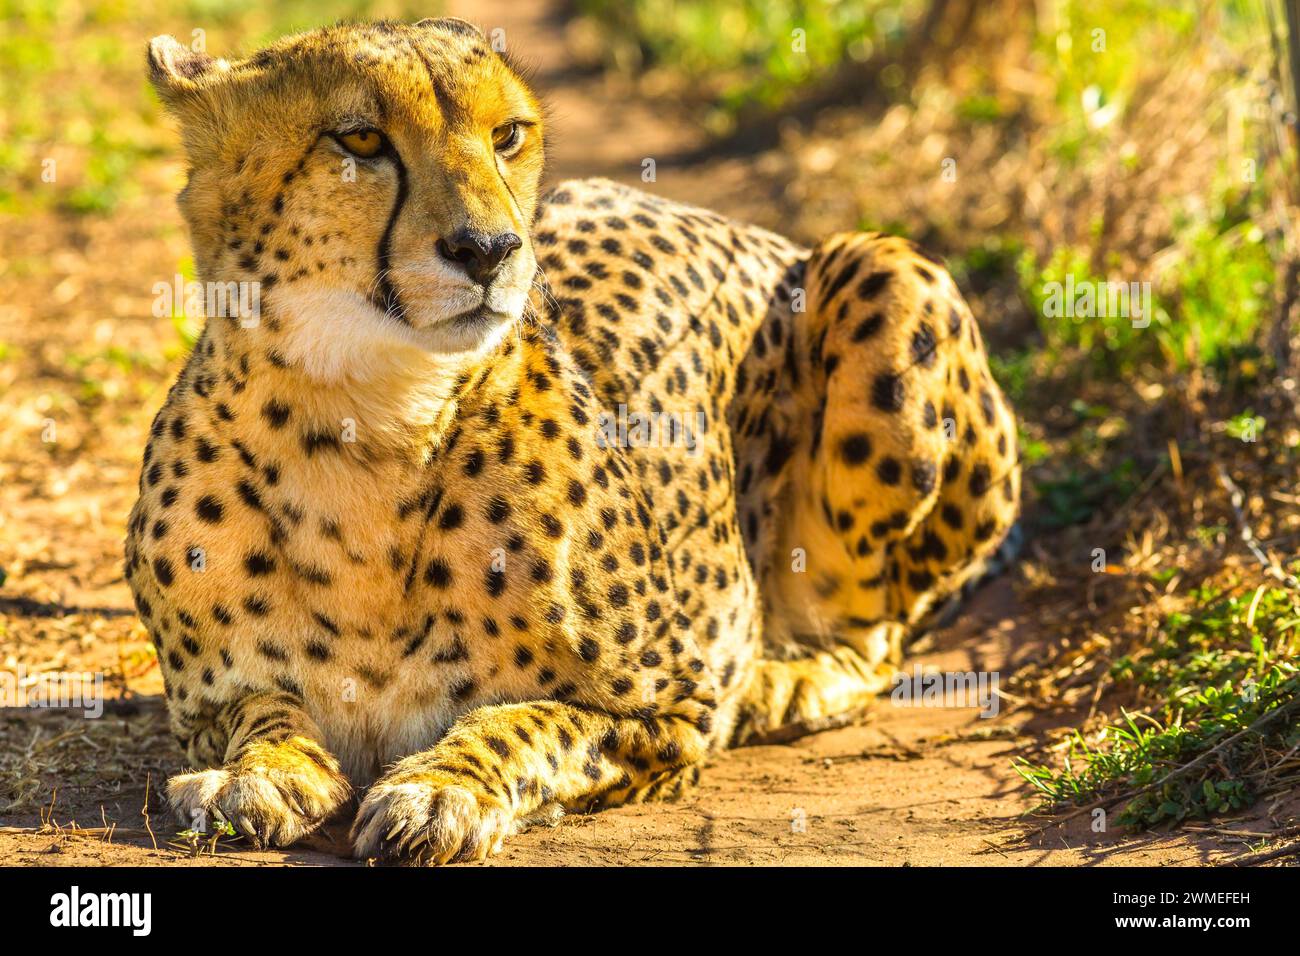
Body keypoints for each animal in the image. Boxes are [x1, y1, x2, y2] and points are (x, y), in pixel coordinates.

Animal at [129, 18, 1024, 863]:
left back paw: (785, 680)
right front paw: (260, 772)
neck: (370, 428)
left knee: (878, 634)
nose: (489, 249)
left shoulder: (678, 708)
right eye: (360, 140)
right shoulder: (204, 705)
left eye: (506, 135)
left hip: (881, 266)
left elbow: (528, 722)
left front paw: (441, 790)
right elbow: (262, 707)